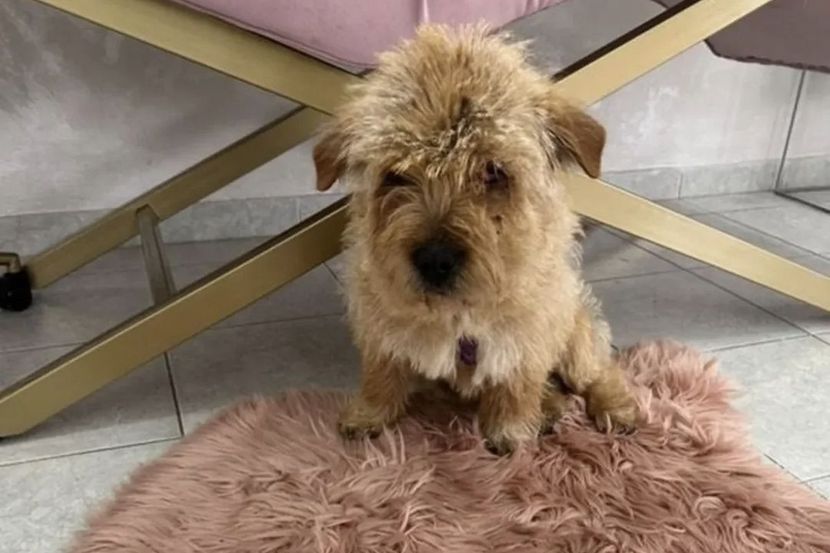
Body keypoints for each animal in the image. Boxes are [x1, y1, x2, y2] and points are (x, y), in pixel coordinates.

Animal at [312, 24, 638, 454]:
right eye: (395, 175)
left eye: (494, 172)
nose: (434, 260)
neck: (459, 313)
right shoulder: (382, 324)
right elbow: (381, 372)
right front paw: (369, 413)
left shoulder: (526, 332)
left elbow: (517, 384)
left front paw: (510, 432)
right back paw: (550, 408)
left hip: (576, 335)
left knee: (599, 372)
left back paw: (613, 408)